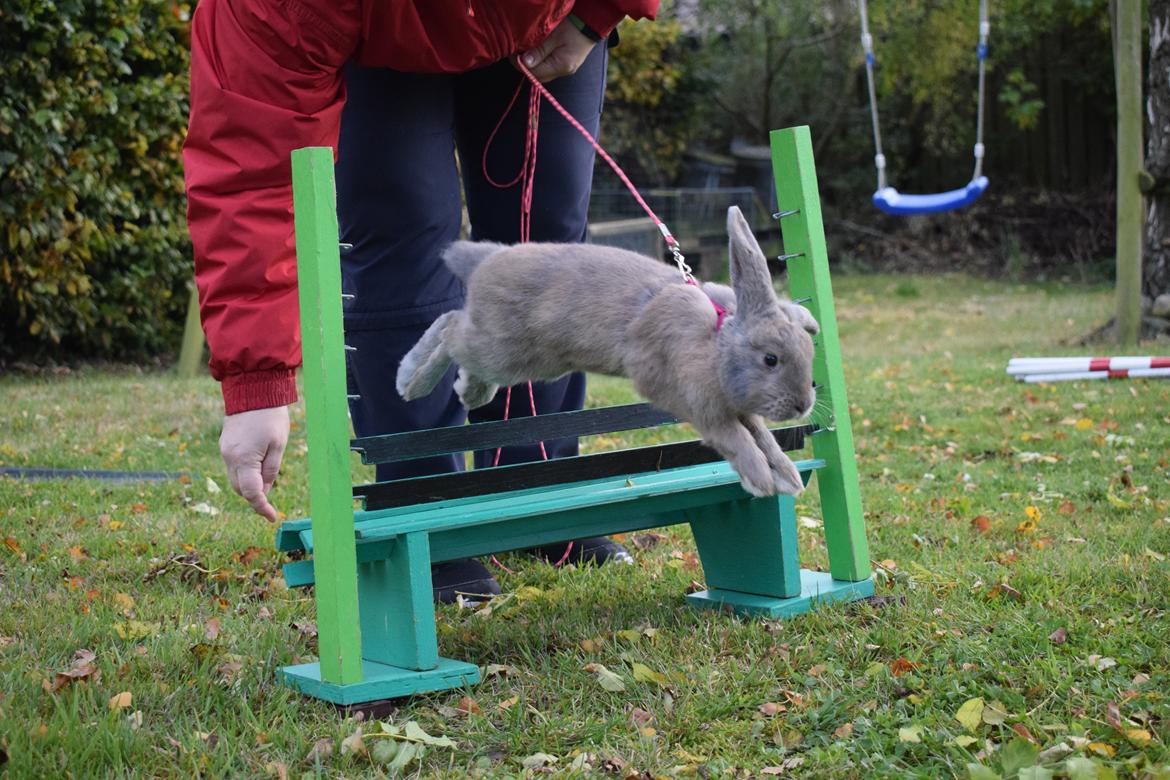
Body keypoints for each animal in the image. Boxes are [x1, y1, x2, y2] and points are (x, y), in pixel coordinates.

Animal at [397, 206, 819, 498]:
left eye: (809, 355)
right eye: (770, 359)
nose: (803, 406)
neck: (717, 347)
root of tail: (488, 259)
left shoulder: (739, 409)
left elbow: (763, 437)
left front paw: (788, 478)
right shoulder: (702, 407)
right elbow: (736, 439)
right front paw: (762, 480)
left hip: (531, 361)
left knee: (461, 338)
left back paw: (470, 391)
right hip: (501, 349)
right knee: (450, 325)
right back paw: (411, 381)